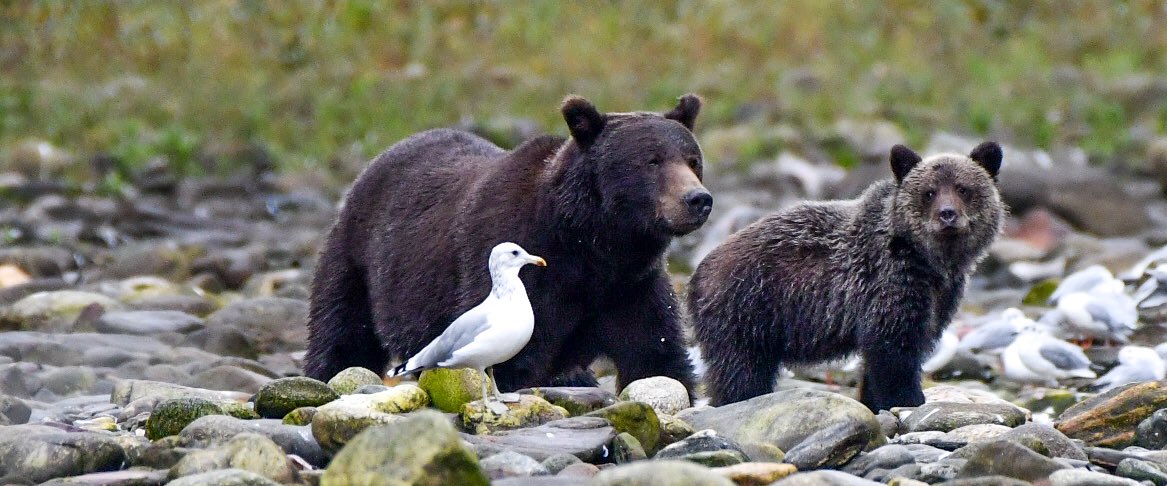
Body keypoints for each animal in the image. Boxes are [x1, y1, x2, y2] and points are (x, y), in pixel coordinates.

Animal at [303, 94, 713, 395]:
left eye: (693, 160)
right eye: (651, 161)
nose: (698, 199)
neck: (590, 244)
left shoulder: (629, 286)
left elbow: (653, 351)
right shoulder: (521, 271)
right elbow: (514, 359)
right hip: (358, 258)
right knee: (342, 331)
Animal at [688, 142, 1004, 411]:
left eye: (963, 189)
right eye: (929, 192)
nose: (947, 214)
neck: (929, 261)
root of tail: (697, 274)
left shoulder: (939, 298)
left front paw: (875, 401)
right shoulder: (888, 285)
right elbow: (894, 353)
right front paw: (908, 399)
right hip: (746, 311)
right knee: (741, 372)